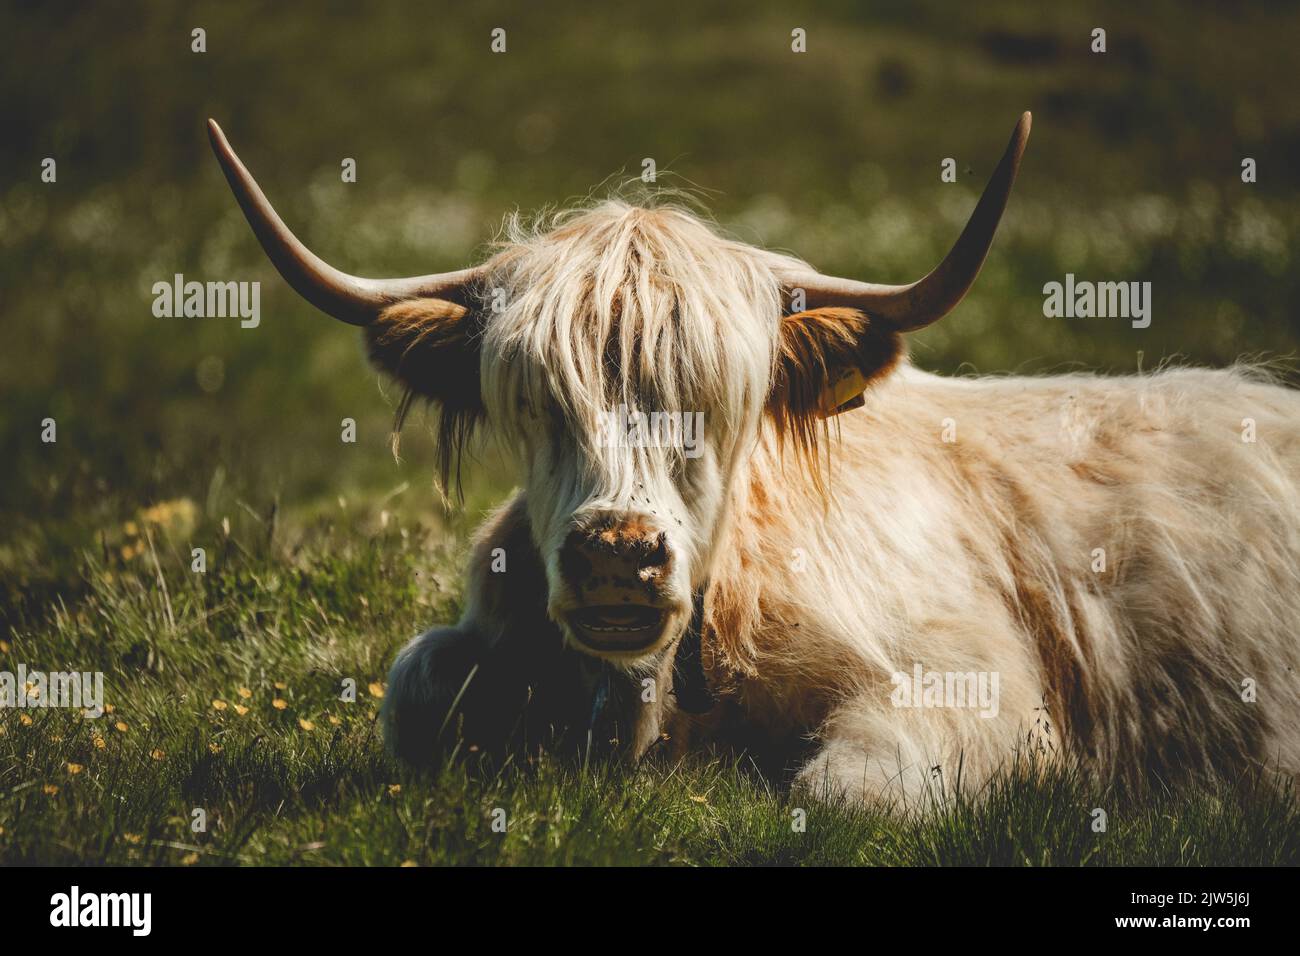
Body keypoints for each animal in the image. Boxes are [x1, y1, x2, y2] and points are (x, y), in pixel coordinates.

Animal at [208, 113, 1300, 804]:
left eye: (718, 406)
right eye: (535, 402)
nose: (617, 552)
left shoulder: (974, 682)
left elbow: (850, 792)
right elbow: (417, 686)